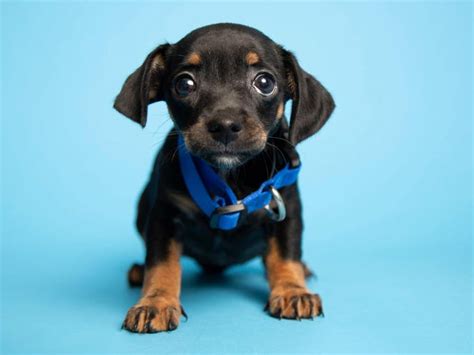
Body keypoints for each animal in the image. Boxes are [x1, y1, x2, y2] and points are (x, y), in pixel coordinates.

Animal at [113, 23, 336, 336]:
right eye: (185, 84)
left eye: (264, 82)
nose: (225, 126)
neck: (229, 176)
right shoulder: (164, 215)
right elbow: (162, 263)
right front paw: (156, 301)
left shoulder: (286, 207)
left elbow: (285, 253)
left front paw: (292, 291)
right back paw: (138, 271)